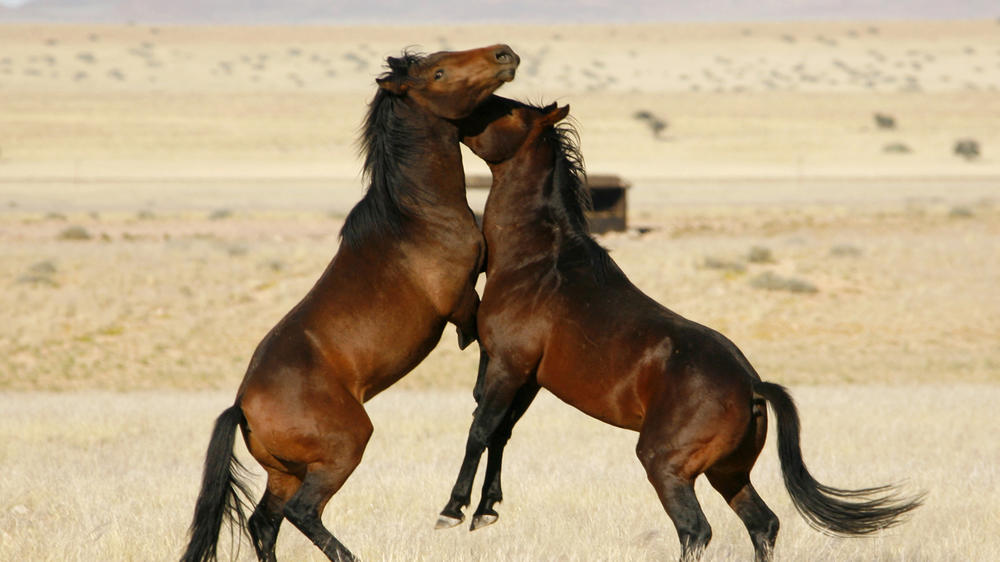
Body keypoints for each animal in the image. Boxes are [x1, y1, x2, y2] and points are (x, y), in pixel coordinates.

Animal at [180, 45, 520, 562]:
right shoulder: (461, 303)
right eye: (439, 72)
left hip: (285, 472)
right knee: (302, 513)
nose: (504, 54)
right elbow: (481, 352)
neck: (416, 217)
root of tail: (242, 407)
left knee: (264, 522)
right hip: (343, 451)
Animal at [434, 97, 923, 561]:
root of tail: (753, 386)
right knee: (763, 524)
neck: (540, 263)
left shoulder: (508, 366)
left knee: (696, 530)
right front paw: (486, 510)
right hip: (728, 473)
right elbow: (501, 433)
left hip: (666, 466)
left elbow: (480, 430)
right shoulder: (527, 378)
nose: (459, 118)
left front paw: (454, 510)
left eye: (507, 111)